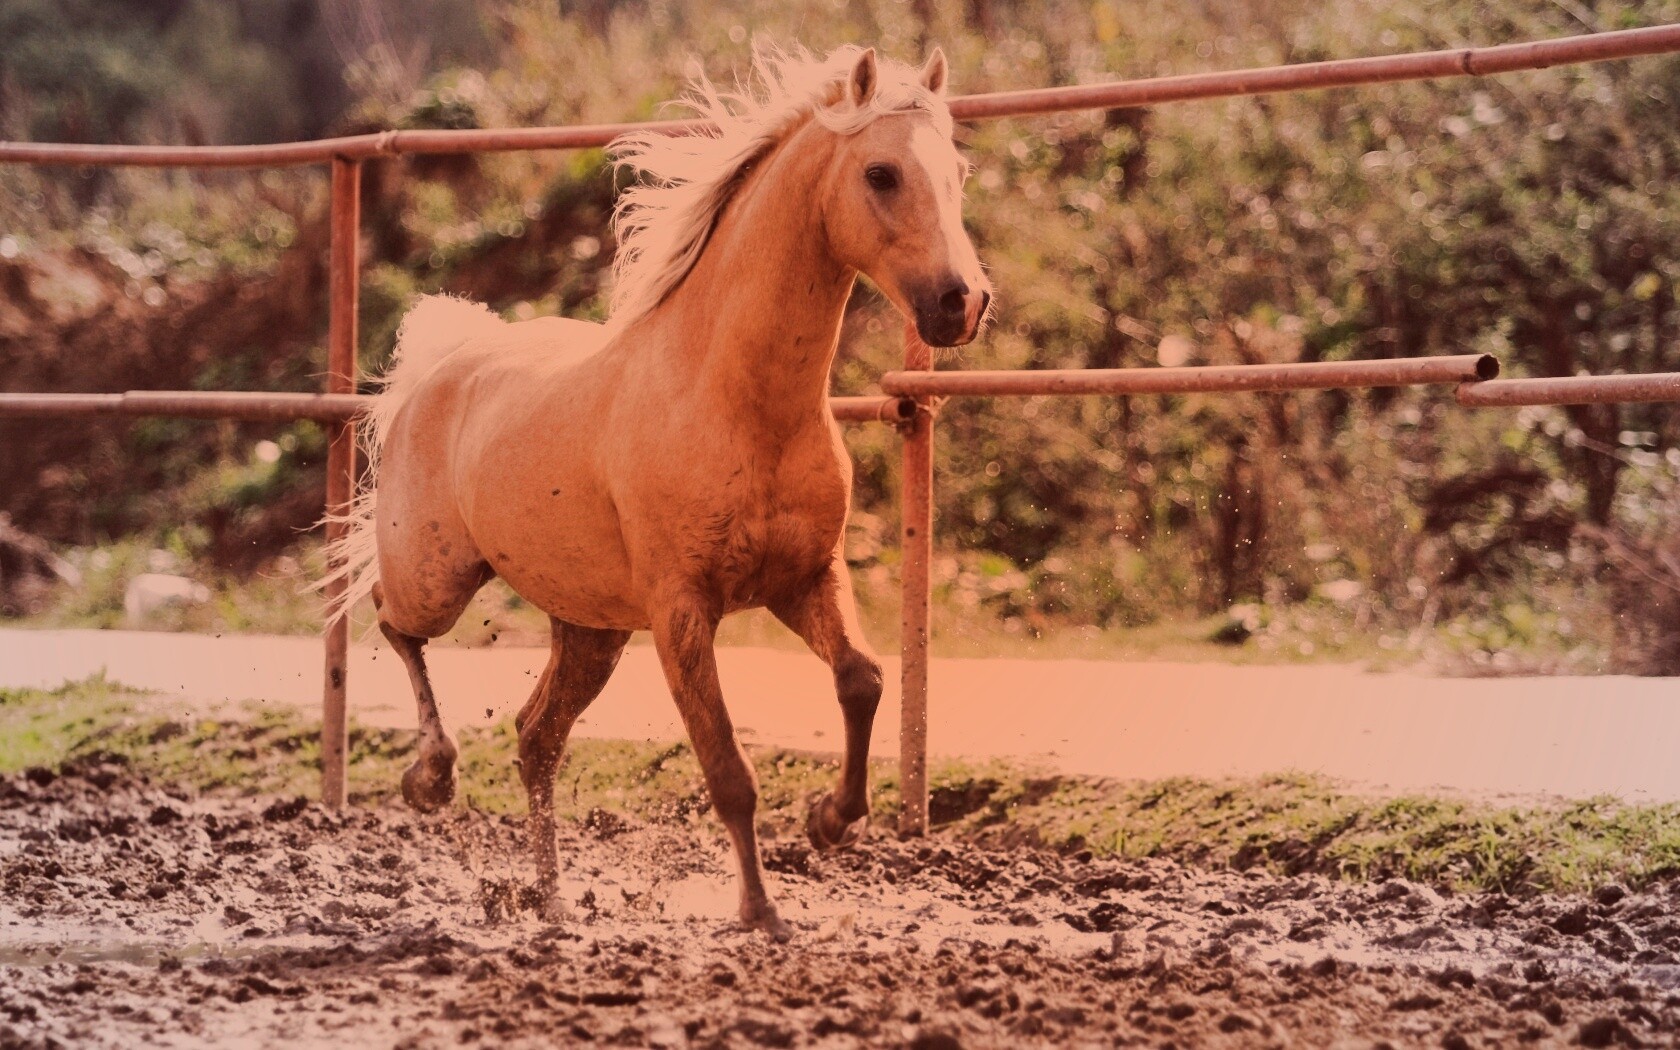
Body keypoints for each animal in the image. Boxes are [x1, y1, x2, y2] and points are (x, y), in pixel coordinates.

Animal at [321, 44, 991, 940]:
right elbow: (729, 769)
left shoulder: (807, 578)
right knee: (395, 624)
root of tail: (442, 363)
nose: (962, 303)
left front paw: (830, 821)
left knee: (536, 739)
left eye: (956, 170)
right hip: (439, 577)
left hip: (591, 628)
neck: (735, 401)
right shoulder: (682, 612)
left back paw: (552, 900)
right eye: (881, 173)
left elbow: (864, 679)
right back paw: (432, 777)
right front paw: (759, 911)